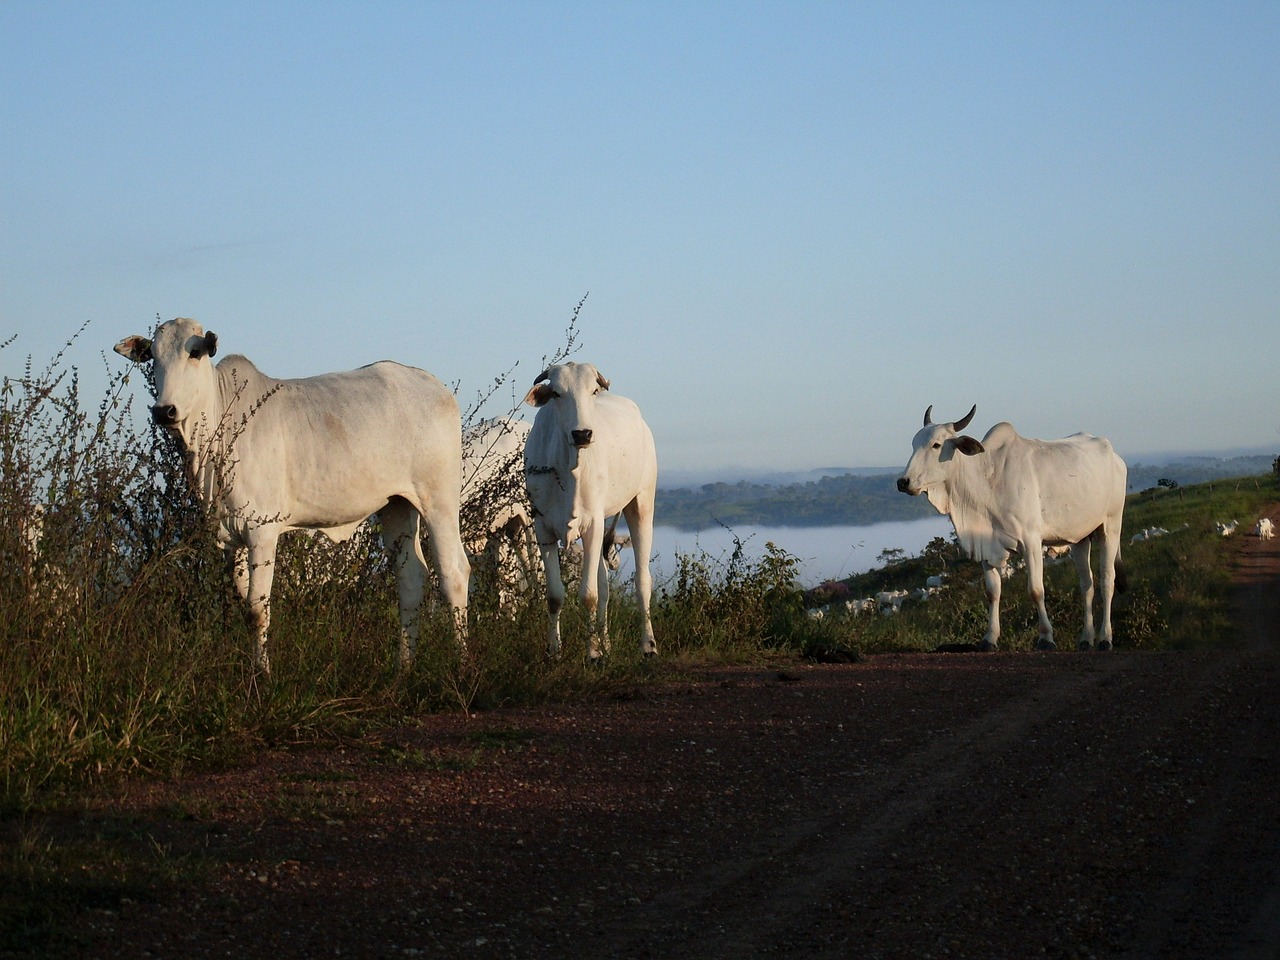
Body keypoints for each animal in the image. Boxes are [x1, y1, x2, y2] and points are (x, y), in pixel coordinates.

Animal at [115, 320, 471, 670]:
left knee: (453, 573)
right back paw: (403, 670)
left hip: (439, 501)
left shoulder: (261, 531)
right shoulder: (231, 539)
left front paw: (262, 675)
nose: (164, 411)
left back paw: (462, 663)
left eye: (193, 353)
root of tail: (434, 385)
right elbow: (246, 607)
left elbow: (257, 610)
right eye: (153, 357)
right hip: (397, 505)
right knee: (411, 579)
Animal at [522, 363, 660, 660]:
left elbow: (588, 595)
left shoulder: (593, 525)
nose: (582, 434)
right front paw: (554, 651)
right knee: (604, 585)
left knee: (643, 581)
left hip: (641, 502)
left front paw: (593, 652)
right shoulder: (543, 527)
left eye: (593, 390)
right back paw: (607, 642)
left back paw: (648, 645)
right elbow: (555, 595)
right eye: (556, 393)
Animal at [896, 401, 1126, 650]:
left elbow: (1036, 590)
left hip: (1111, 526)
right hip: (1080, 538)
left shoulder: (1031, 541)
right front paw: (990, 638)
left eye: (936, 445)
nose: (903, 482)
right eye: (913, 444)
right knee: (1087, 584)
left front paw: (1046, 637)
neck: (988, 480)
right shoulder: (985, 545)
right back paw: (1086, 638)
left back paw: (1105, 638)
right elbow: (992, 592)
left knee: (1107, 580)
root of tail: (1116, 457)